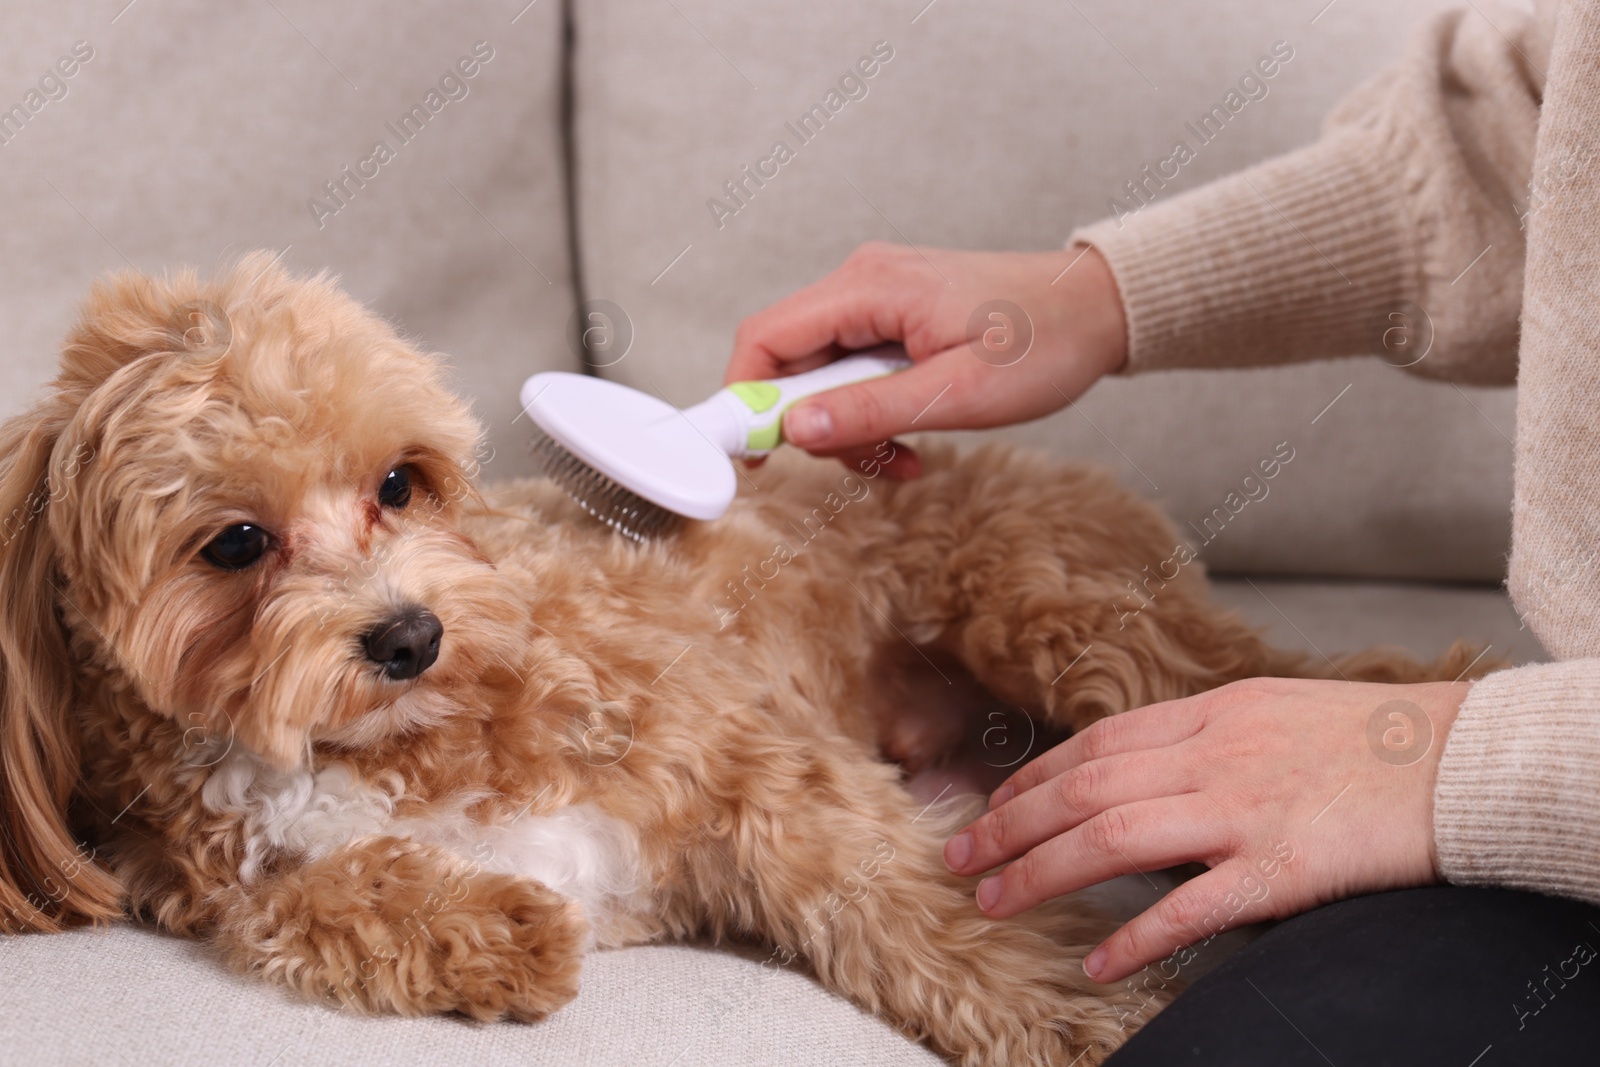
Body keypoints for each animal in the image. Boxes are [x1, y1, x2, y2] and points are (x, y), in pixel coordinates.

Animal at [0, 254, 1484, 1062]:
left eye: (400, 482)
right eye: (236, 542)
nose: (412, 633)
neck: (370, 753)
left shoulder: (759, 770)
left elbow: (933, 922)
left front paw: (1087, 1025)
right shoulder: (208, 872)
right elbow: (311, 908)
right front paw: (504, 935)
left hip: (1061, 618)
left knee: (1255, 673)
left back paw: (1410, 699)